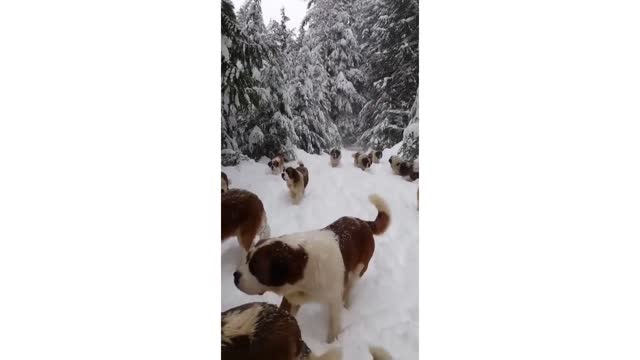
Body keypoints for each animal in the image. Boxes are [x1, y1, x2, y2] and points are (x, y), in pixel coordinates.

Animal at [231, 194, 388, 344]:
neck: (304, 268)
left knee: (349, 287)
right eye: (246, 259)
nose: (235, 275)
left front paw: (331, 345)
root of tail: (363, 222)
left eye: (254, 268)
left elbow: (333, 328)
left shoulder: (333, 302)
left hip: (358, 270)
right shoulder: (291, 298)